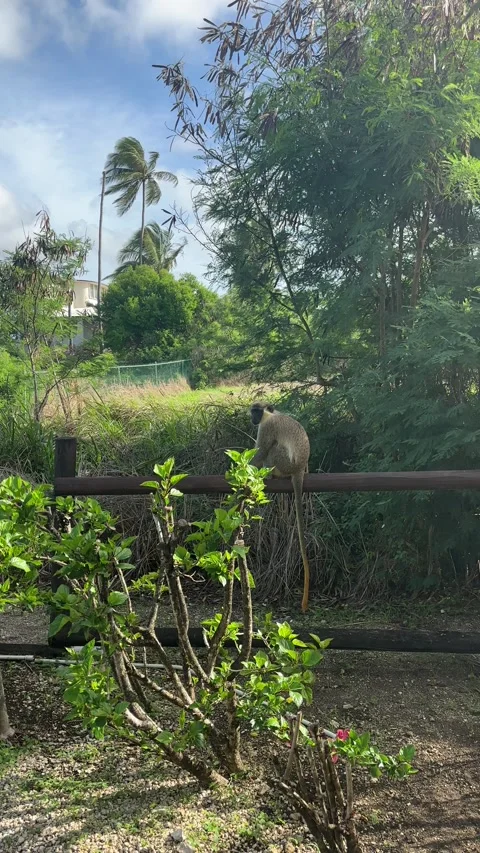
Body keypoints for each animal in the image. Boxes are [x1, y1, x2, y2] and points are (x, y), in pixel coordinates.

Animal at [250, 401, 311, 613]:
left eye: (257, 411)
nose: (252, 418)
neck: (270, 415)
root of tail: (299, 467)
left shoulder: (267, 427)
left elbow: (261, 451)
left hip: (284, 462)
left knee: (274, 448)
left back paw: (269, 474)